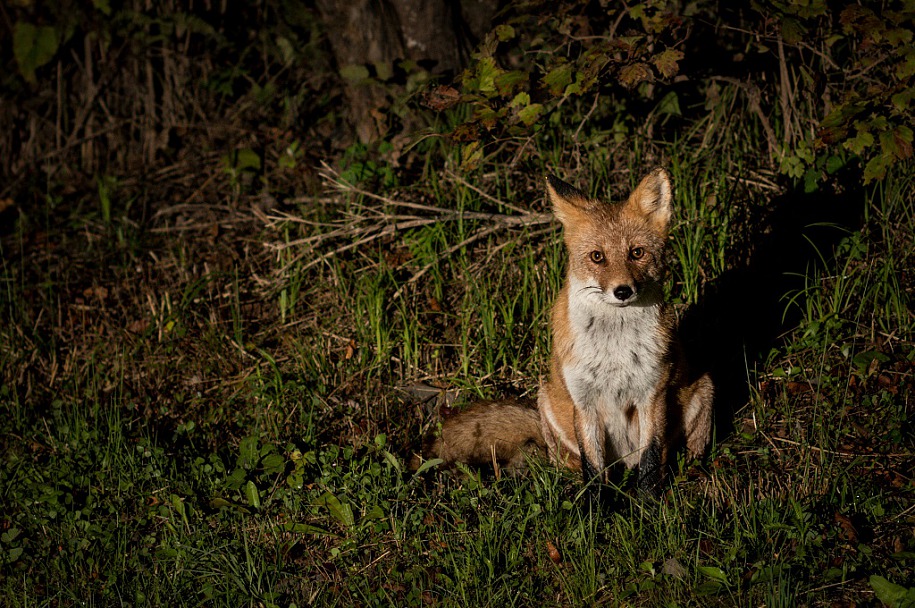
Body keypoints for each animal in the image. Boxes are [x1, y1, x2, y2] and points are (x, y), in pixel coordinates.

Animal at [422, 169, 716, 492]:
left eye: (637, 253)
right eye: (597, 256)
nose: (623, 291)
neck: (614, 348)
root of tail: (624, 463)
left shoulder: (651, 395)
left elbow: (650, 464)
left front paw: (648, 503)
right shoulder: (584, 401)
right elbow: (593, 470)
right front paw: (594, 504)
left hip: (703, 390)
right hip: (548, 402)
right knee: (572, 463)